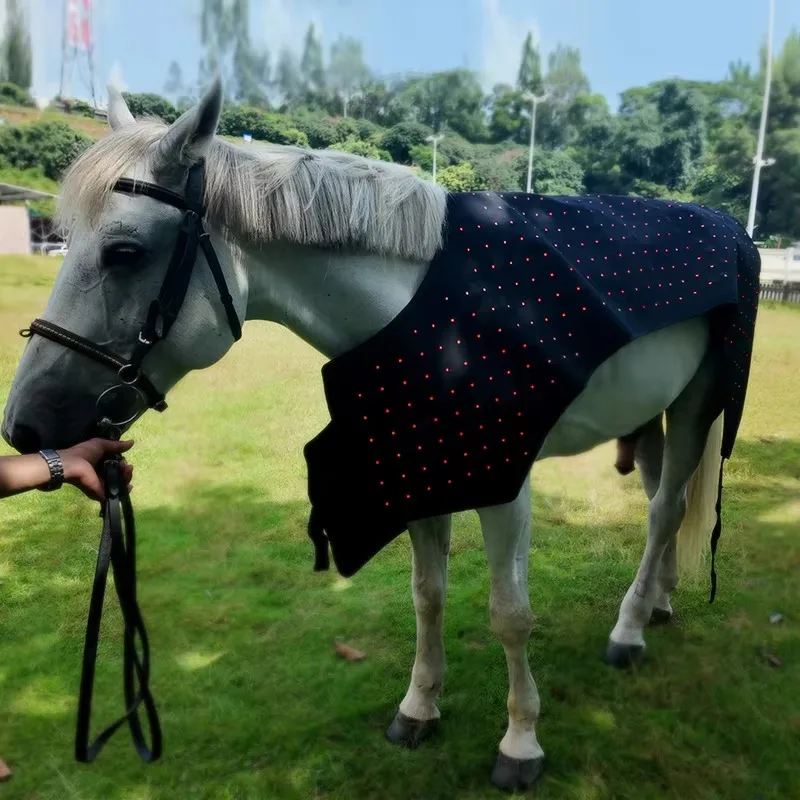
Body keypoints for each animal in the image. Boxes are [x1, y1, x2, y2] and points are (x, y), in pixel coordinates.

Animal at [2, 79, 751, 792]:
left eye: (124, 252)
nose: (26, 425)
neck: (427, 317)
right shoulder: (419, 464)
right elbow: (428, 594)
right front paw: (419, 707)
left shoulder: (505, 483)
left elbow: (509, 612)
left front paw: (520, 741)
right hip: (650, 413)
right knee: (663, 503)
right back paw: (656, 602)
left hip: (696, 404)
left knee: (665, 511)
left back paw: (628, 630)